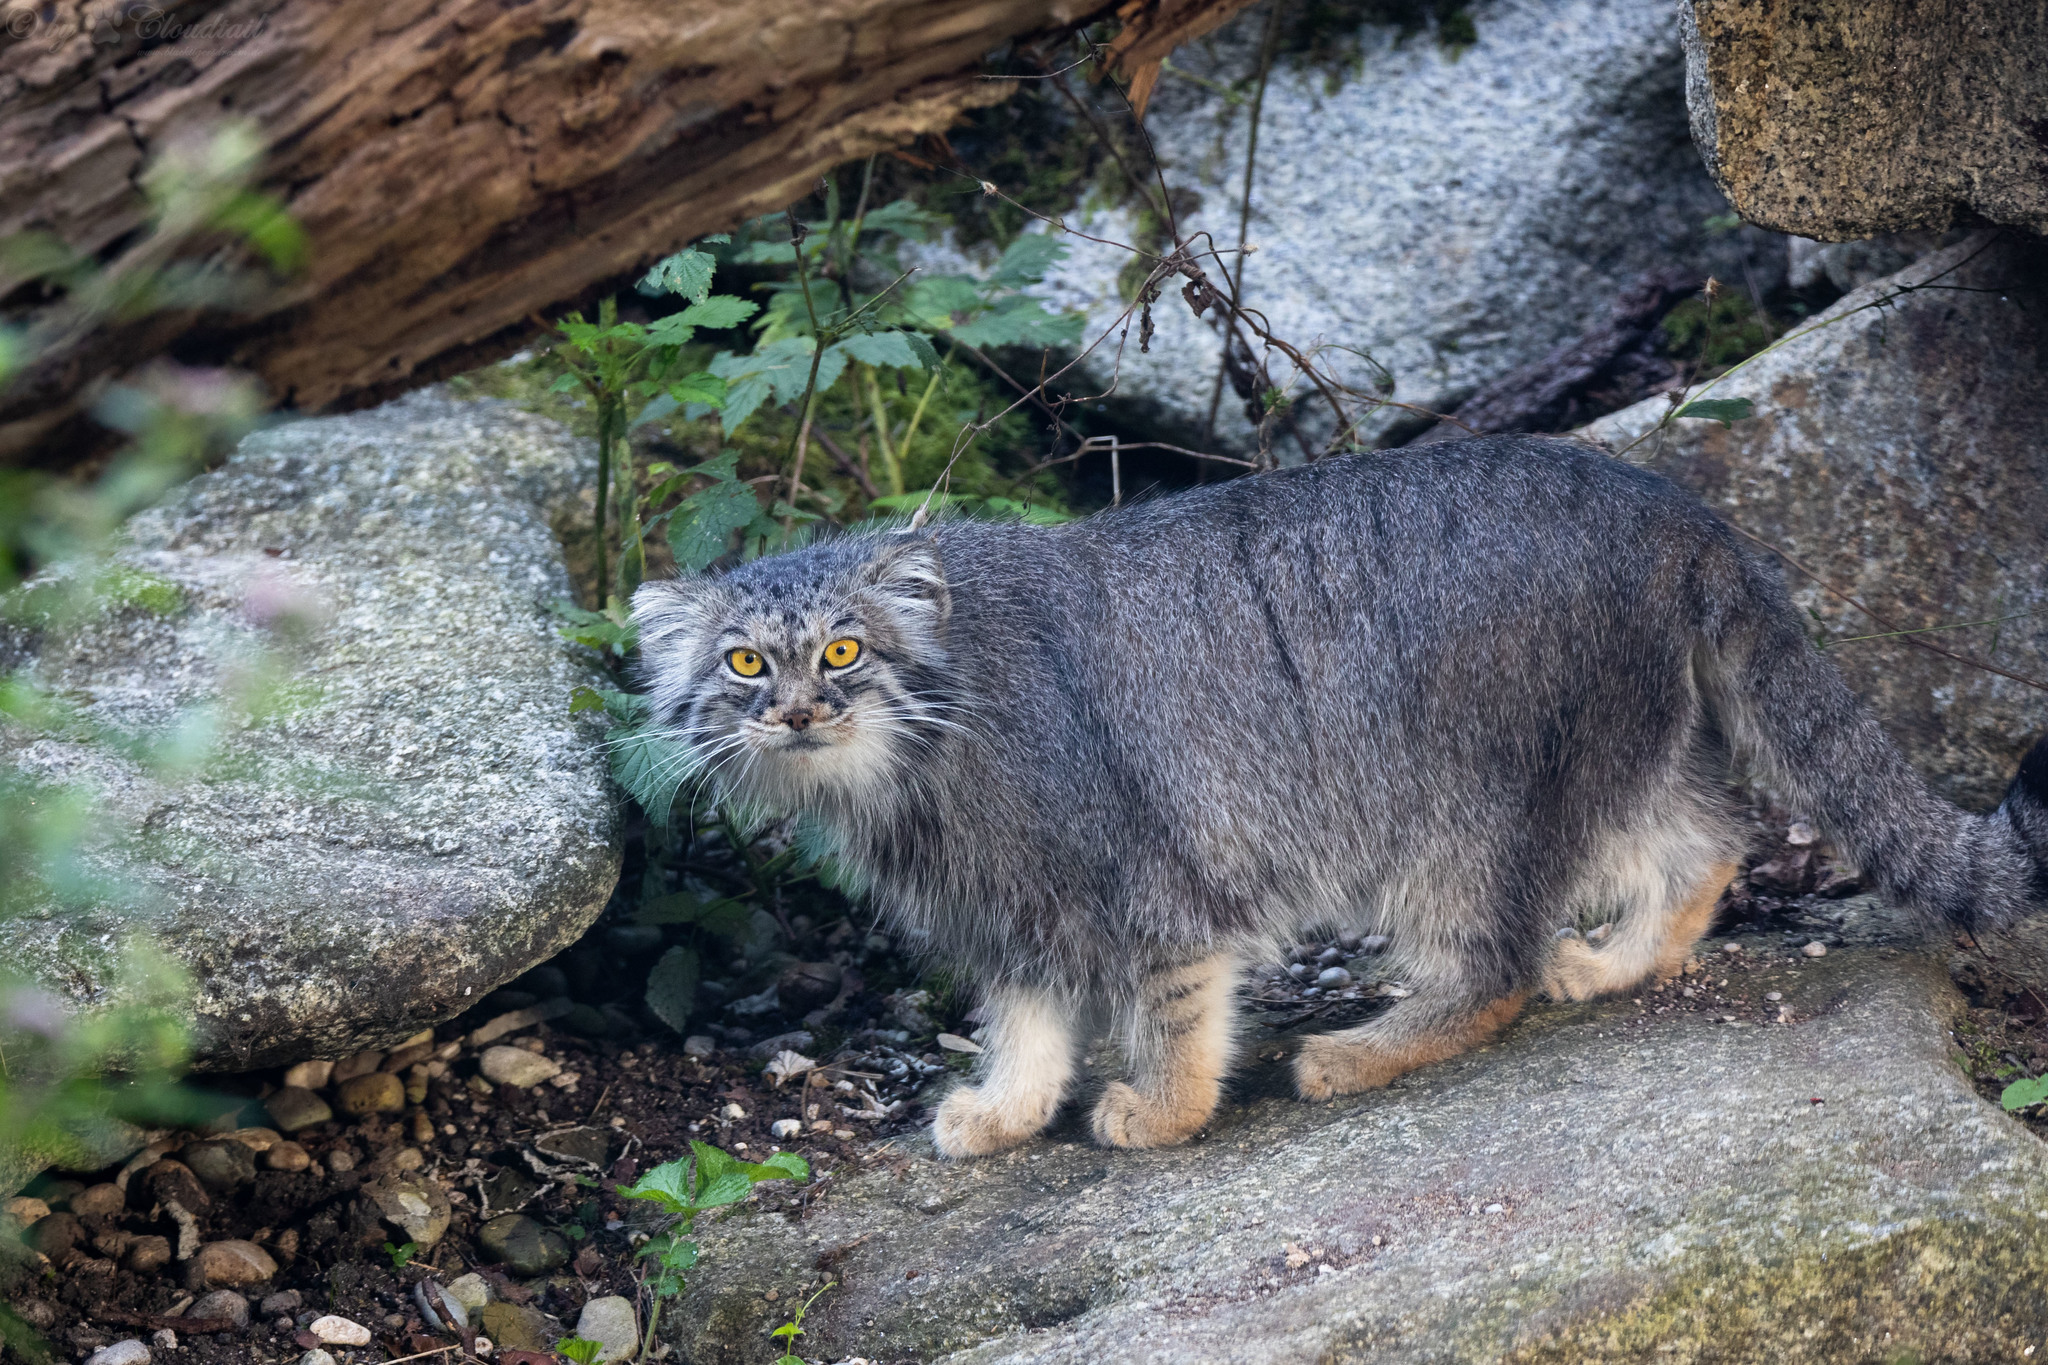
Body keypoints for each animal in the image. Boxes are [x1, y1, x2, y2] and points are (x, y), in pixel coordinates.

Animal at [630, 444, 2039, 1162]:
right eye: (745, 663)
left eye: (843, 651)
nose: (796, 712)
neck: (917, 757)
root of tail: (1667, 499)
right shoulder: (1016, 909)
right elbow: (1026, 1022)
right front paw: (1009, 1109)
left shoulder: (1140, 875)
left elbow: (1171, 1010)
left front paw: (1160, 1113)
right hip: (1603, 750)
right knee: (1705, 837)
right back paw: (1618, 960)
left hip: (1460, 805)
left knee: (1494, 968)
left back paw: (1363, 1050)